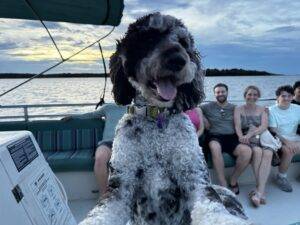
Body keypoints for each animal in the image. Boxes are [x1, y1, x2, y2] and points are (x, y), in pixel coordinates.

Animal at [79, 13, 251, 225]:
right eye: (149, 38)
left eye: (184, 43)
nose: (178, 60)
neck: (157, 118)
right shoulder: (121, 182)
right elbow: (103, 212)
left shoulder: (194, 173)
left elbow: (211, 205)